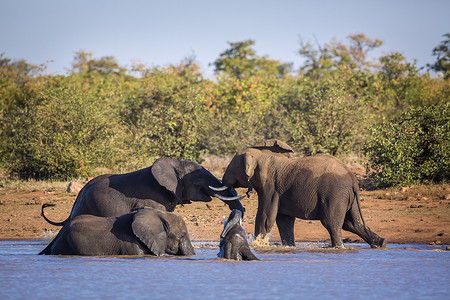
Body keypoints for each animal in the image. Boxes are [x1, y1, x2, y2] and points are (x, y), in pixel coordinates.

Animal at [220, 139, 384, 248]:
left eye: (232, 167)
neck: (261, 156)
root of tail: (353, 178)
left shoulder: (270, 188)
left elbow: (265, 217)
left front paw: (257, 244)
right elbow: (284, 221)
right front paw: (289, 247)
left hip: (335, 194)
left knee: (332, 223)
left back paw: (338, 247)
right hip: (347, 196)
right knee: (352, 223)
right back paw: (380, 244)